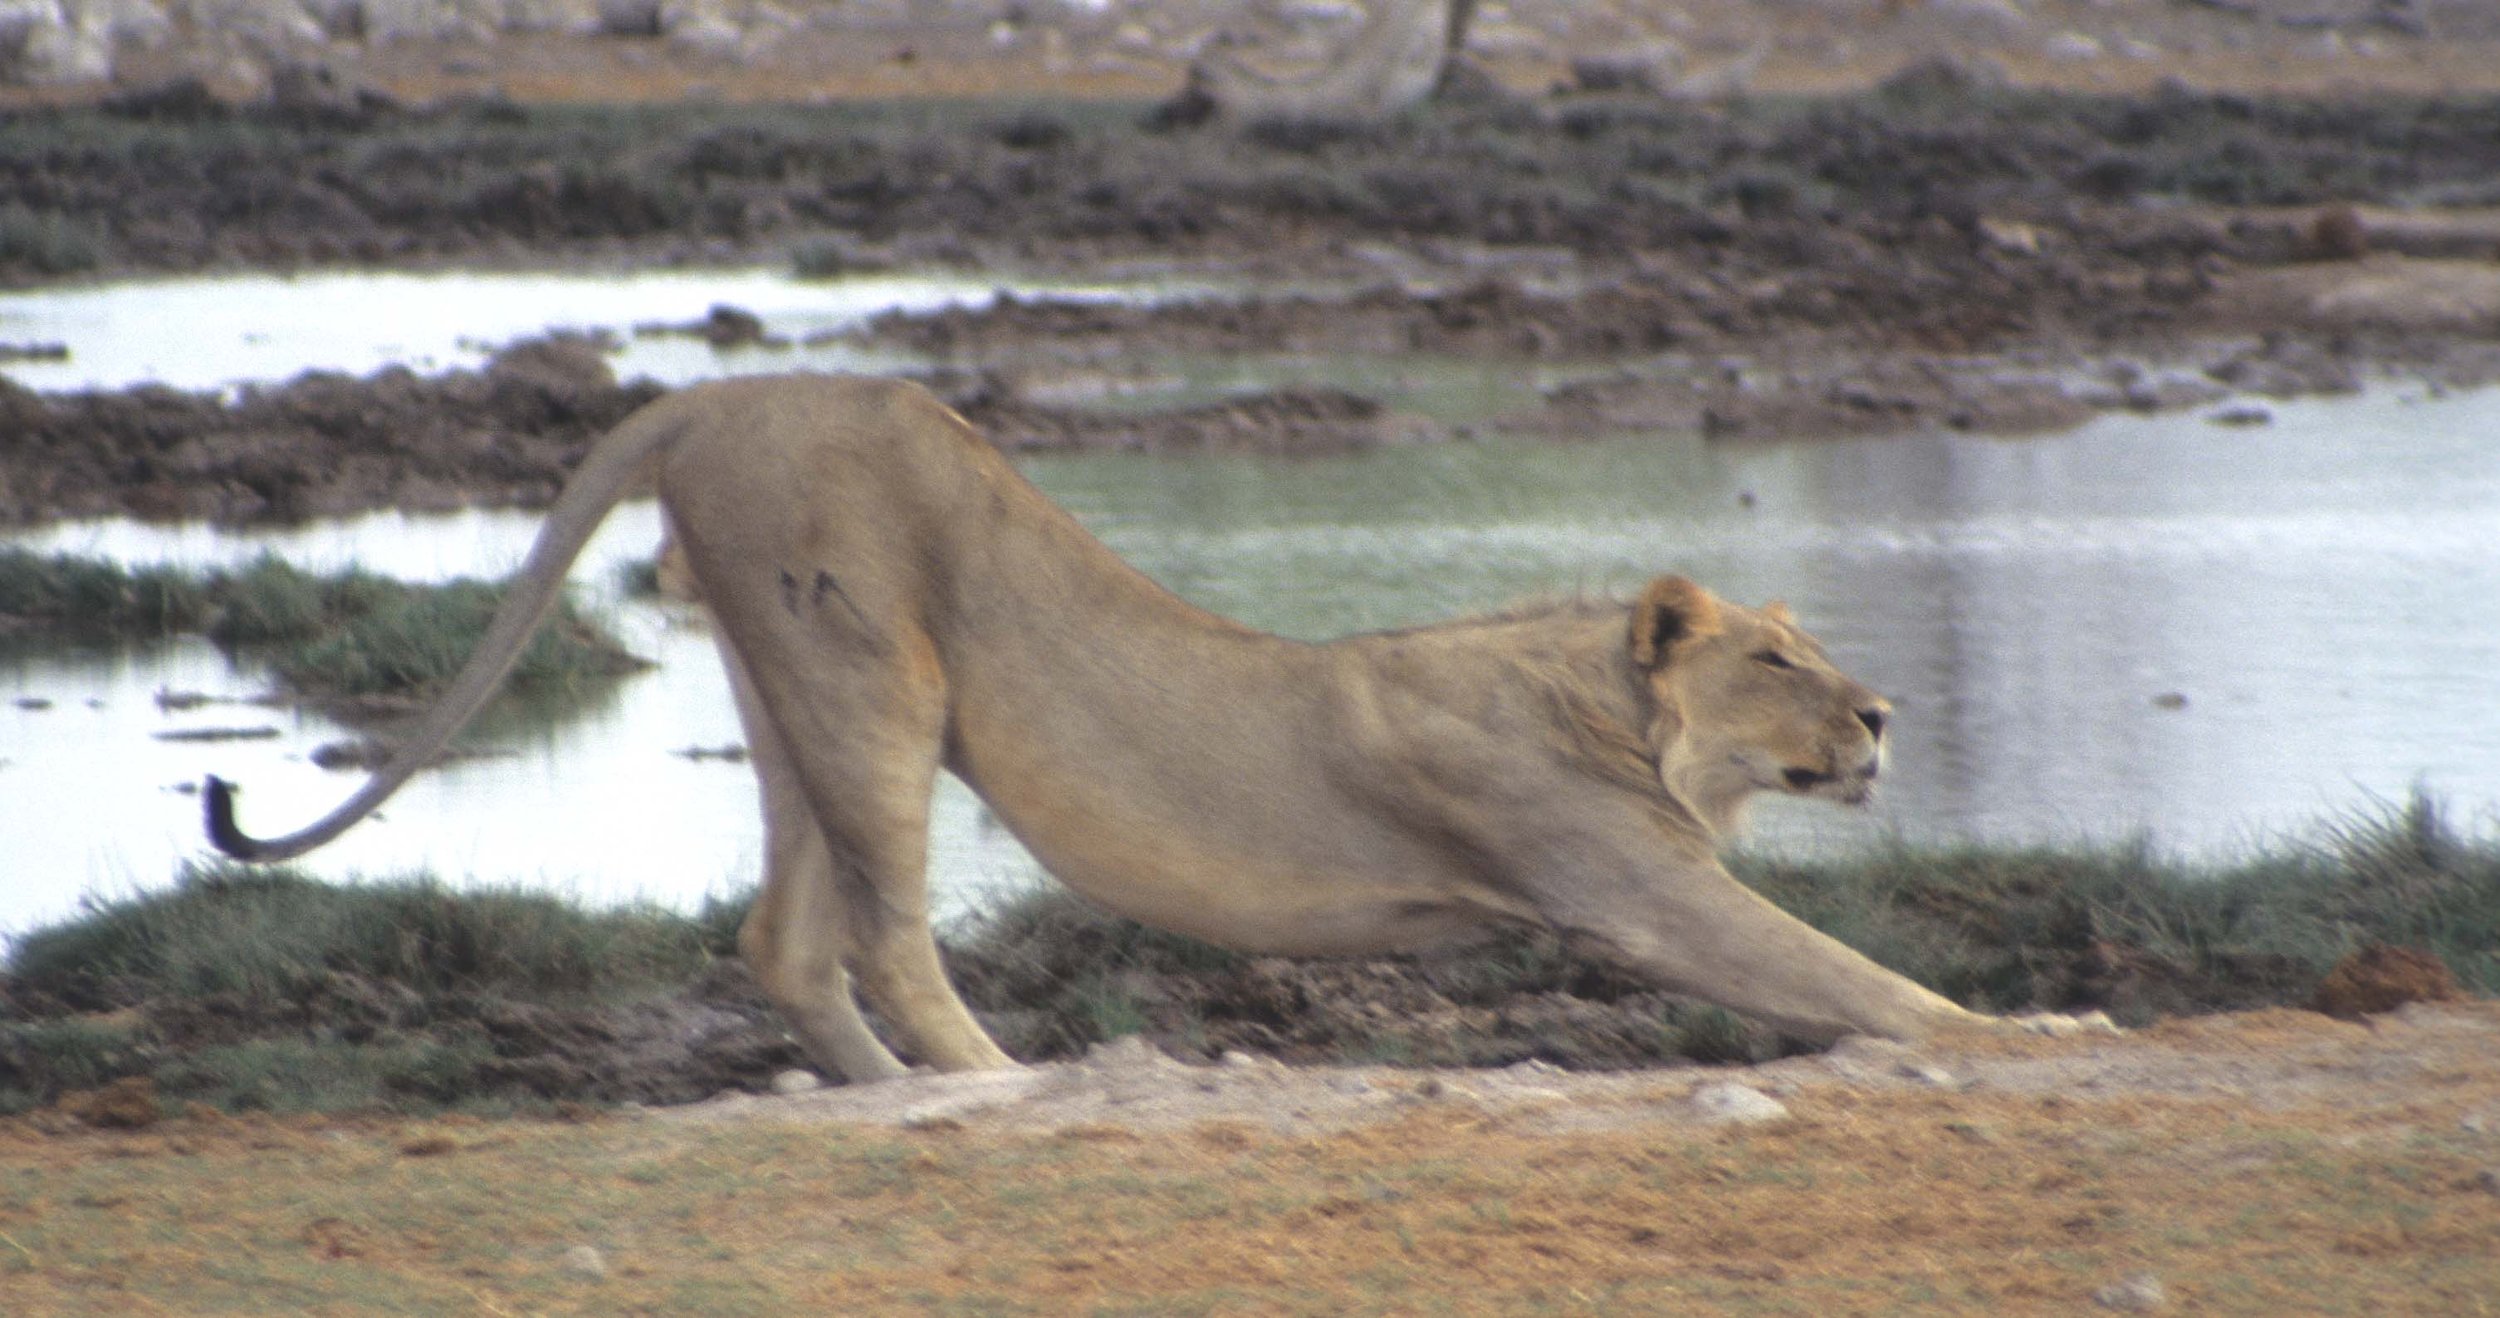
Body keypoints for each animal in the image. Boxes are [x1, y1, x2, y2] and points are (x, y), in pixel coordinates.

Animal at [208, 373, 1984, 1084]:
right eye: (1776, 655)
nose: (1885, 710)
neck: (1604, 703)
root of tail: (719, 395)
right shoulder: (1634, 891)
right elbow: (1858, 978)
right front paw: (2015, 1031)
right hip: (872, 669)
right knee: (887, 930)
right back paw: (999, 1082)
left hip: (787, 691)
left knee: (785, 937)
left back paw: (902, 1092)